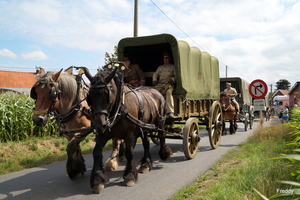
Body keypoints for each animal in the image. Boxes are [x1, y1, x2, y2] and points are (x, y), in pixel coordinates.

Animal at [82, 63, 172, 194]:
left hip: (160, 122)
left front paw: (129, 176)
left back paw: (164, 154)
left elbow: (129, 153)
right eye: (90, 96)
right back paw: (146, 164)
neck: (118, 107)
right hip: (144, 126)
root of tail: (157, 91)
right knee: (146, 143)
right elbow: (96, 153)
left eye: (107, 94)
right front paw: (97, 180)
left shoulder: (128, 134)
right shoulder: (102, 134)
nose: (99, 125)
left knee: (161, 136)